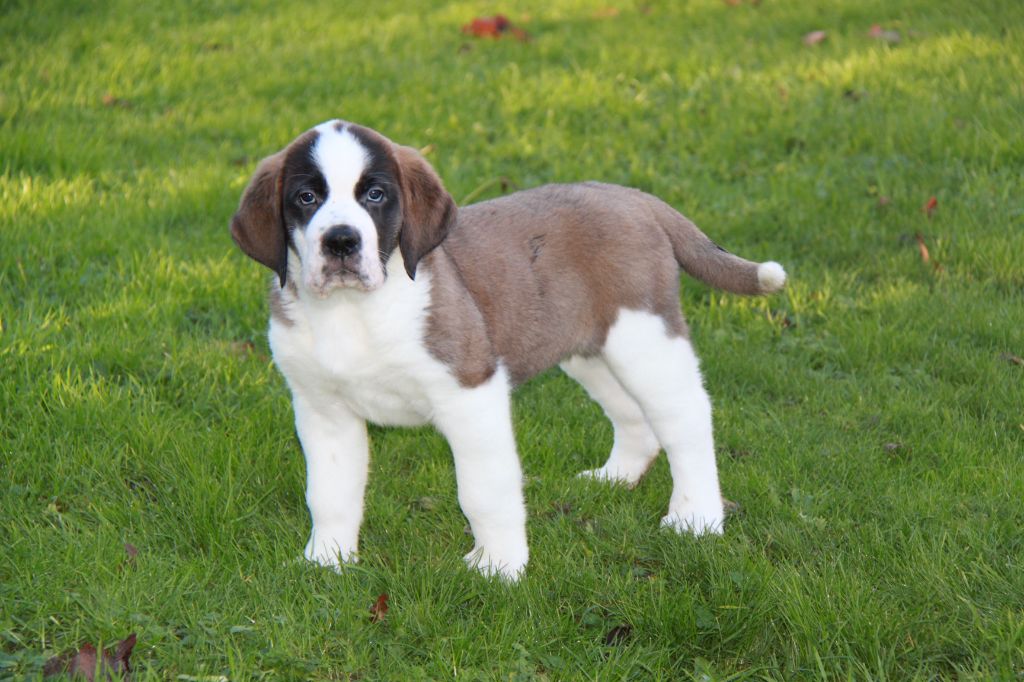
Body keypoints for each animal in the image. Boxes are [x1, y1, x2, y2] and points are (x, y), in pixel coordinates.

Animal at [230, 120, 786, 580]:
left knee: (686, 419)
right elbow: (329, 492)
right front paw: (326, 561)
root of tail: (631, 197)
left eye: (375, 194)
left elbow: (484, 489)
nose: (341, 243)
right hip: (590, 348)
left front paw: (499, 566)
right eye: (306, 197)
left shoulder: (470, 394)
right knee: (633, 416)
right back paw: (614, 478)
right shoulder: (322, 410)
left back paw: (695, 517)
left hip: (643, 337)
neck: (354, 312)